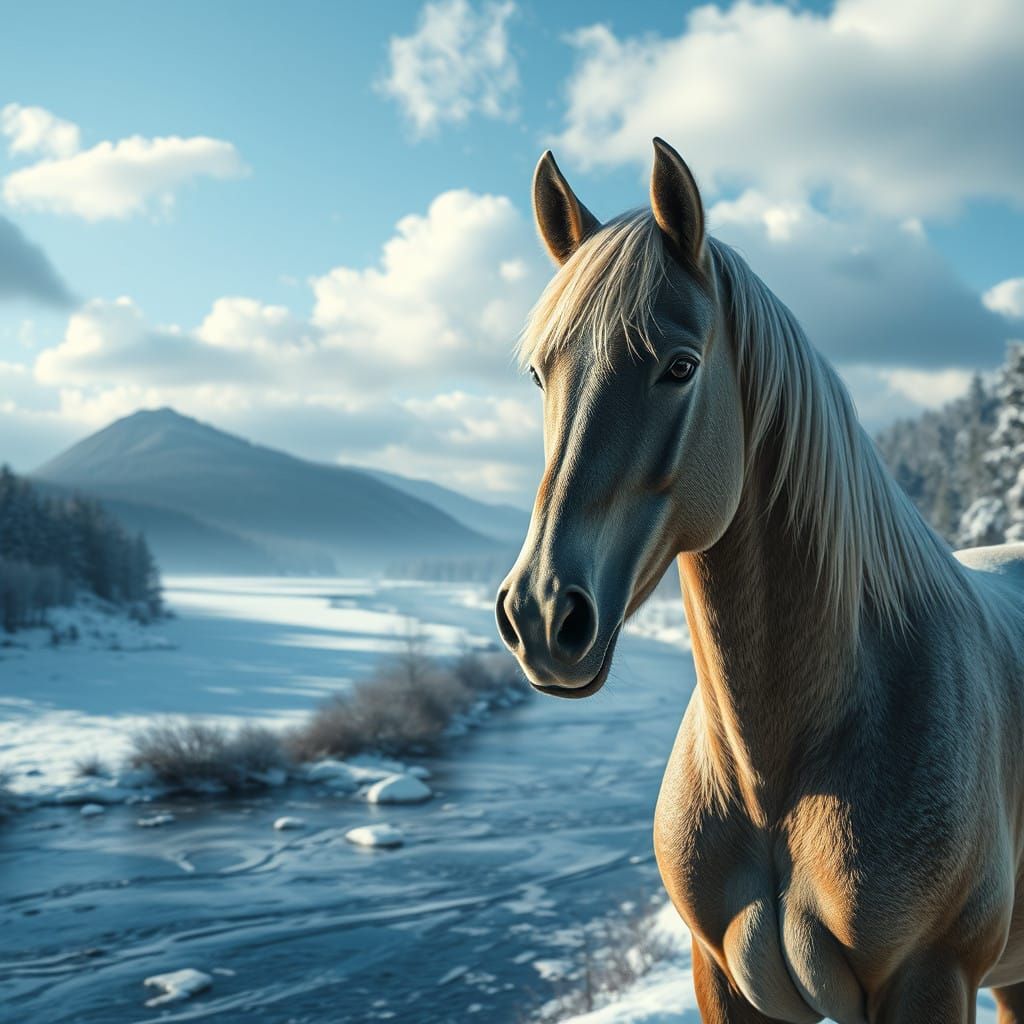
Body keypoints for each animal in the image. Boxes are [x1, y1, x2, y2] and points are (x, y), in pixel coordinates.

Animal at [495, 137, 1024, 1023]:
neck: (773, 774)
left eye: (680, 366)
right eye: (540, 374)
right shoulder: (723, 978)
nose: (540, 613)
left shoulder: (931, 976)